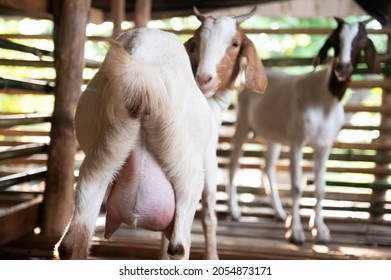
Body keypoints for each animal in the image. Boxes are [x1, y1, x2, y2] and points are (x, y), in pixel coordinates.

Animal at [228, 18, 382, 244]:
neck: (324, 100)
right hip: (242, 123)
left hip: (273, 137)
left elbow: (320, 188)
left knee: (267, 168)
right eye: (334, 40)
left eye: (362, 42)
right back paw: (234, 211)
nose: (342, 68)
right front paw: (296, 232)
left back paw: (279, 212)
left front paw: (322, 230)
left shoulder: (324, 146)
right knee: (234, 165)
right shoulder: (297, 142)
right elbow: (297, 186)